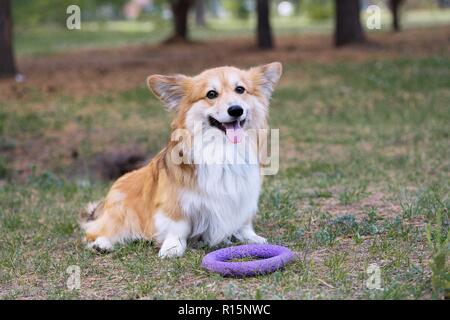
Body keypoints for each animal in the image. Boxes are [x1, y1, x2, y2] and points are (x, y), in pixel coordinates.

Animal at [78, 62, 282, 258]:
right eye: (211, 94)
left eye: (240, 89)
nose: (236, 110)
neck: (222, 148)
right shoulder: (175, 202)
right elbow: (177, 227)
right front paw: (172, 248)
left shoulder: (243, 196)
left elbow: (243, 222)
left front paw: (251, 238)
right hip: (122, 212)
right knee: (99, 231)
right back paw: (102, 244)